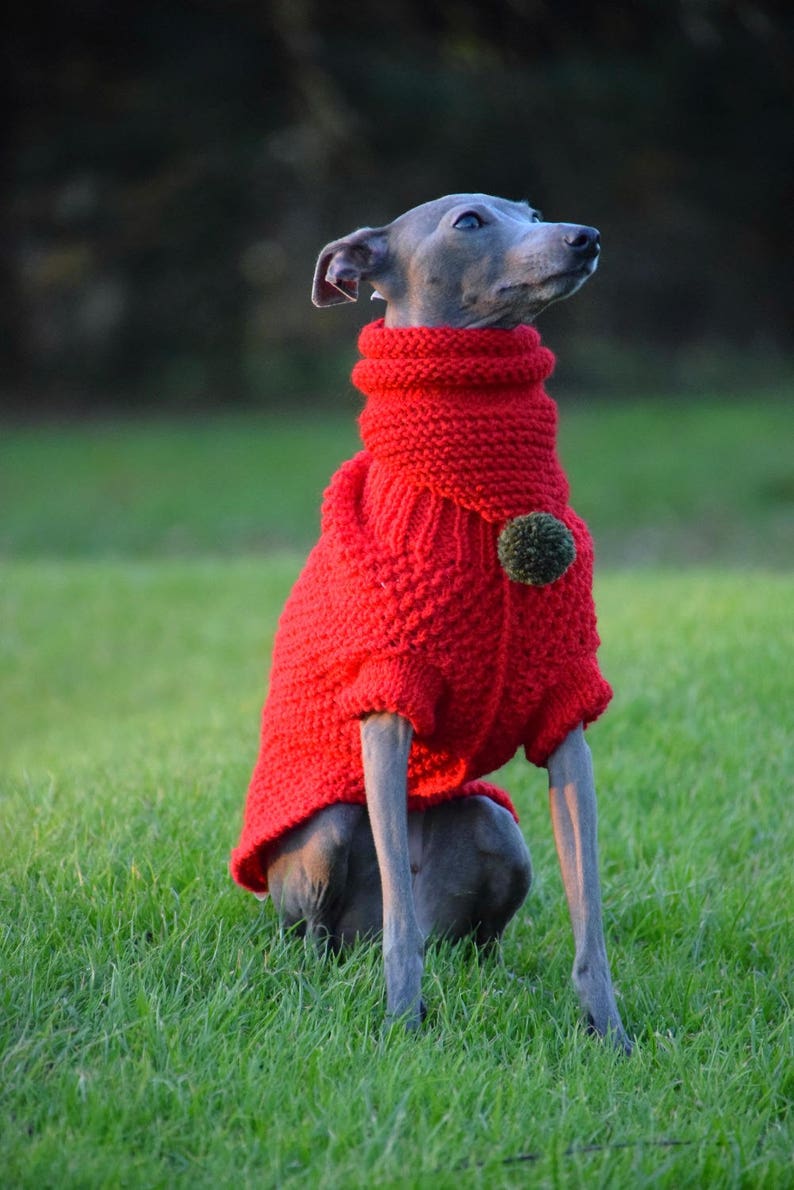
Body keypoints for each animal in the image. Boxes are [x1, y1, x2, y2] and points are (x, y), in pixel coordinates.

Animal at [230, 192, 633, 1051]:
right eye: (470, 221)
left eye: (532, 213)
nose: (584, 238)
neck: (479, 499)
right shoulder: (388, 695)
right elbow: (401, 929)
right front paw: (403, 1024)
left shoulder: (568, 707)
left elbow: (589, 915)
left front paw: (610, 1035)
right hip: (324, 837)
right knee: (344, 925)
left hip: (494, 826)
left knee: (471, 929)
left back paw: (494, 975)